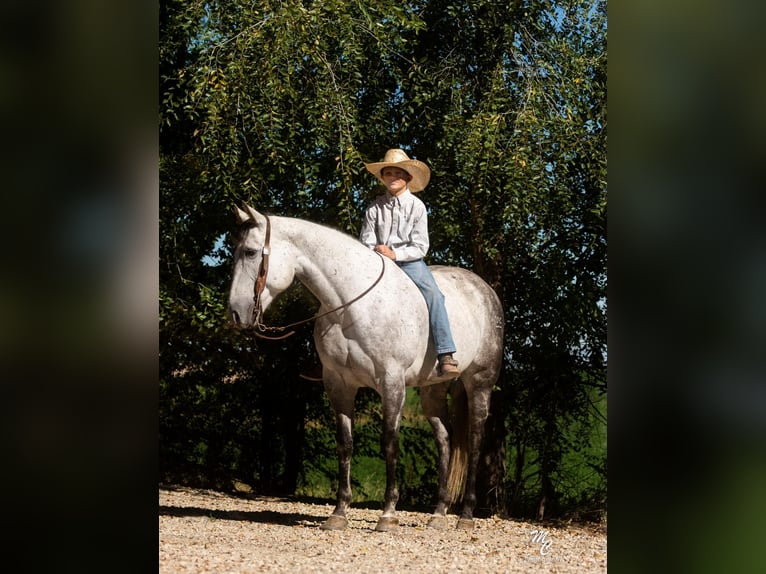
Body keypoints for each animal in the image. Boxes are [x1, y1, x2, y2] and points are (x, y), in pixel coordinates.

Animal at [228, 205, 504, 532]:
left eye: (250, 252)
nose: (236, 313)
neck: (352, 305)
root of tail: (484, 289)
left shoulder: (391, 383)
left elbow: (390, 443)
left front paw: (388, 514)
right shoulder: (339, 384)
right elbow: (345, 444)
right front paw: (339, 513)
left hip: (479, 383)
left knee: (474, 441)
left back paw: (466, 516)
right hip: (432, 392)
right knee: (445, 440)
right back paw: (438, 514)